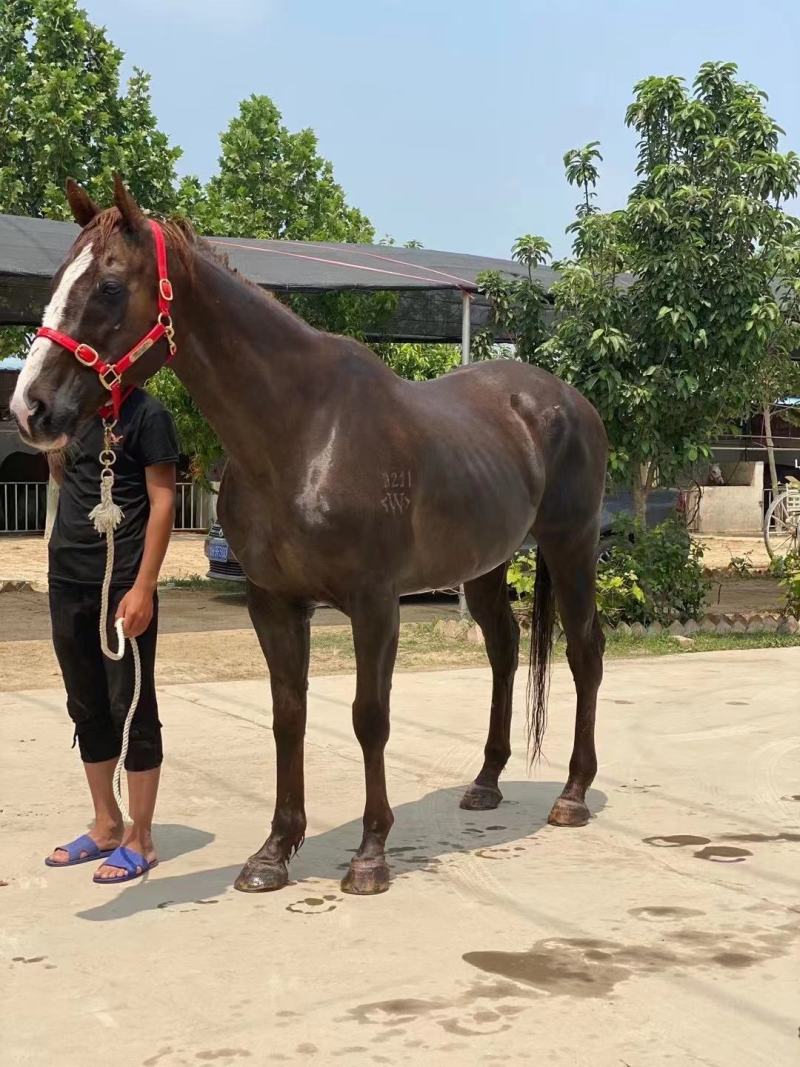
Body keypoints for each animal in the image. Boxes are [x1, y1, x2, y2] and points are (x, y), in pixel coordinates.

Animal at [11, 177, 608, 896]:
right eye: (54, 281)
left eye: (107, 285)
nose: (30, 407)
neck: (304, 431)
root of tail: (563, 399)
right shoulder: (273, 603)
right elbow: (287, 716)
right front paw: (274, 851)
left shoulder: (375, 603)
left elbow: (368, 717)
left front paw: (370, 855)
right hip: (485, 562)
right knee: (504, 649)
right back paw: (487, 781)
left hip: (570, 546)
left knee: (585, 652)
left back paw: (572, 793)